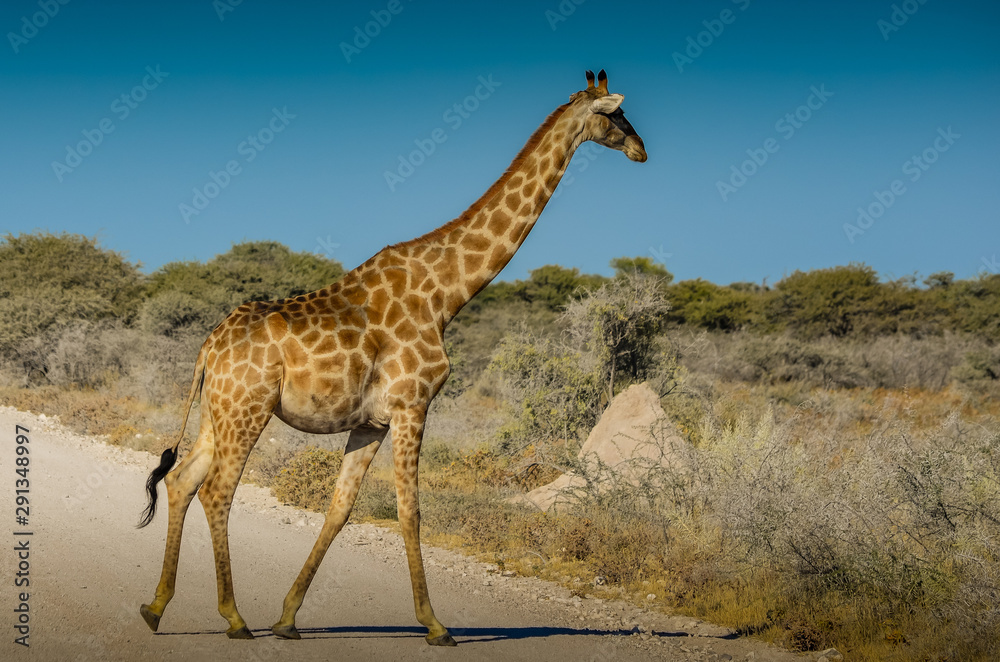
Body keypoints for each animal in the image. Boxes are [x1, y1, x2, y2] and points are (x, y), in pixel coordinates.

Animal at [137, 69, 646, 647]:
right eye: (615, 114)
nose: (641, 150)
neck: (446, 293)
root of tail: (209, 346)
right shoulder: (412, 405)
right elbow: (411, 510)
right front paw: (436, 624)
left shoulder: (371, 422)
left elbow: (340, 508)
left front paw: (289, 618)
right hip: (249, 408)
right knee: (217, 491)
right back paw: (234, 617)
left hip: (218, 410)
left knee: (181, 481)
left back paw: (156, 607)